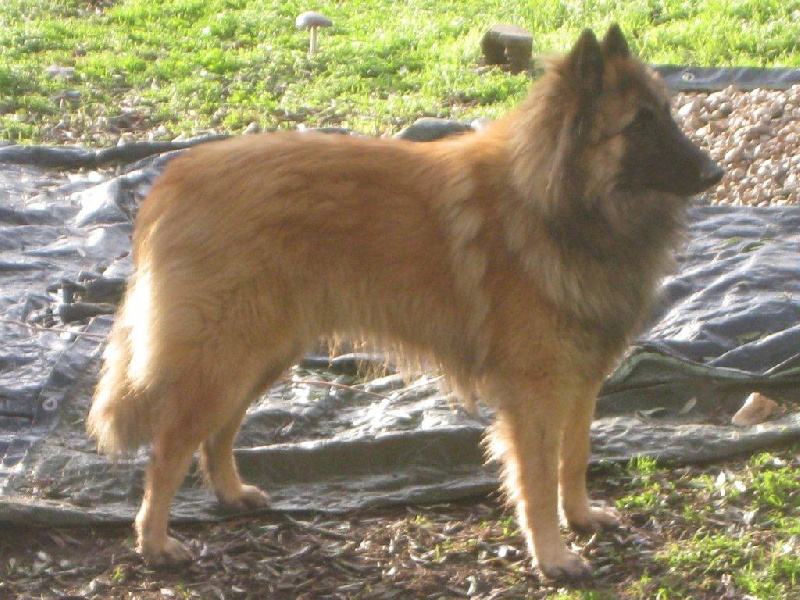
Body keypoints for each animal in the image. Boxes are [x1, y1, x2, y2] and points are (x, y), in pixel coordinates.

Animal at [87, 24, 722, 582]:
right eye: (639, 123)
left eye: (667, 113)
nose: (715, 173)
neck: (555, 201)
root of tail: (172, 177)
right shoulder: (536, 393)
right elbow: (540, 480)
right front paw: (553, 555)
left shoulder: (582, 379)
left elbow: (575, 457)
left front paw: (583, 517)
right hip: (226, 356)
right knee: (169, 450)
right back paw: (154, 542)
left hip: (262, 354)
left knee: (217, 432)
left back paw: (231, 493)